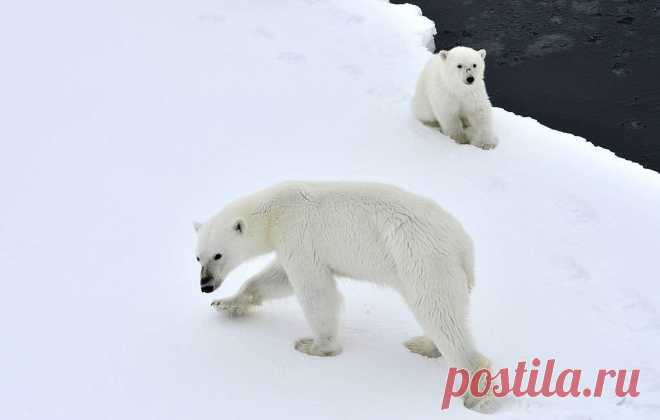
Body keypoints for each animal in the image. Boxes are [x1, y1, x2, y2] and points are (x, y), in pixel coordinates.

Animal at [193, 180, 492, 410]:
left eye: (218, 255)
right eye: (198, 257)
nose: (205, 285)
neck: (275, 211)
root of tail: (464, 245)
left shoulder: (298, 235)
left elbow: (314, 288)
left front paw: (314, 346)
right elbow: (278, 278)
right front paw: (226, 304)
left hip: (420, 258)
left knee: (439, 310)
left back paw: (475, 393)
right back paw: (423, 345)